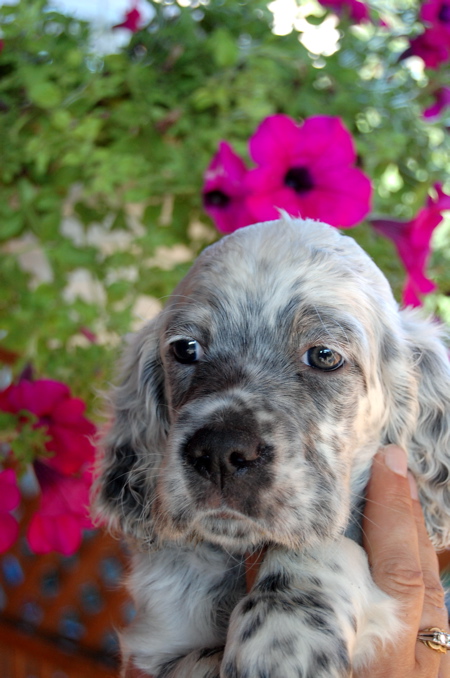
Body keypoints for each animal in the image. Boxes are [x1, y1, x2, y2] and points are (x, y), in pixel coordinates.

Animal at [94, 215, 450, 677]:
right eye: (186, 348)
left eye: (324, 355)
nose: (219, 452)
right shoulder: (154, 648)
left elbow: (320, 543)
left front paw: (284, 636)